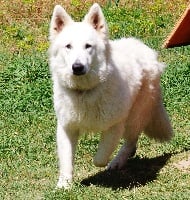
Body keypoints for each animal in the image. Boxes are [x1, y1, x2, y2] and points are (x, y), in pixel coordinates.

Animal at [48, 3, 172, 188]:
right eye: (68, 46)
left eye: (88, 46)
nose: (77, 67)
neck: (85, 91)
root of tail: (146, 49)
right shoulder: (66, 128)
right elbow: (66, 160)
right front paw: (64, 184)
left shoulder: (115, 125)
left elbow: (100, 158)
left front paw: (104, 163)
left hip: (134, 118)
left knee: (131, 141)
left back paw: (118, 161)